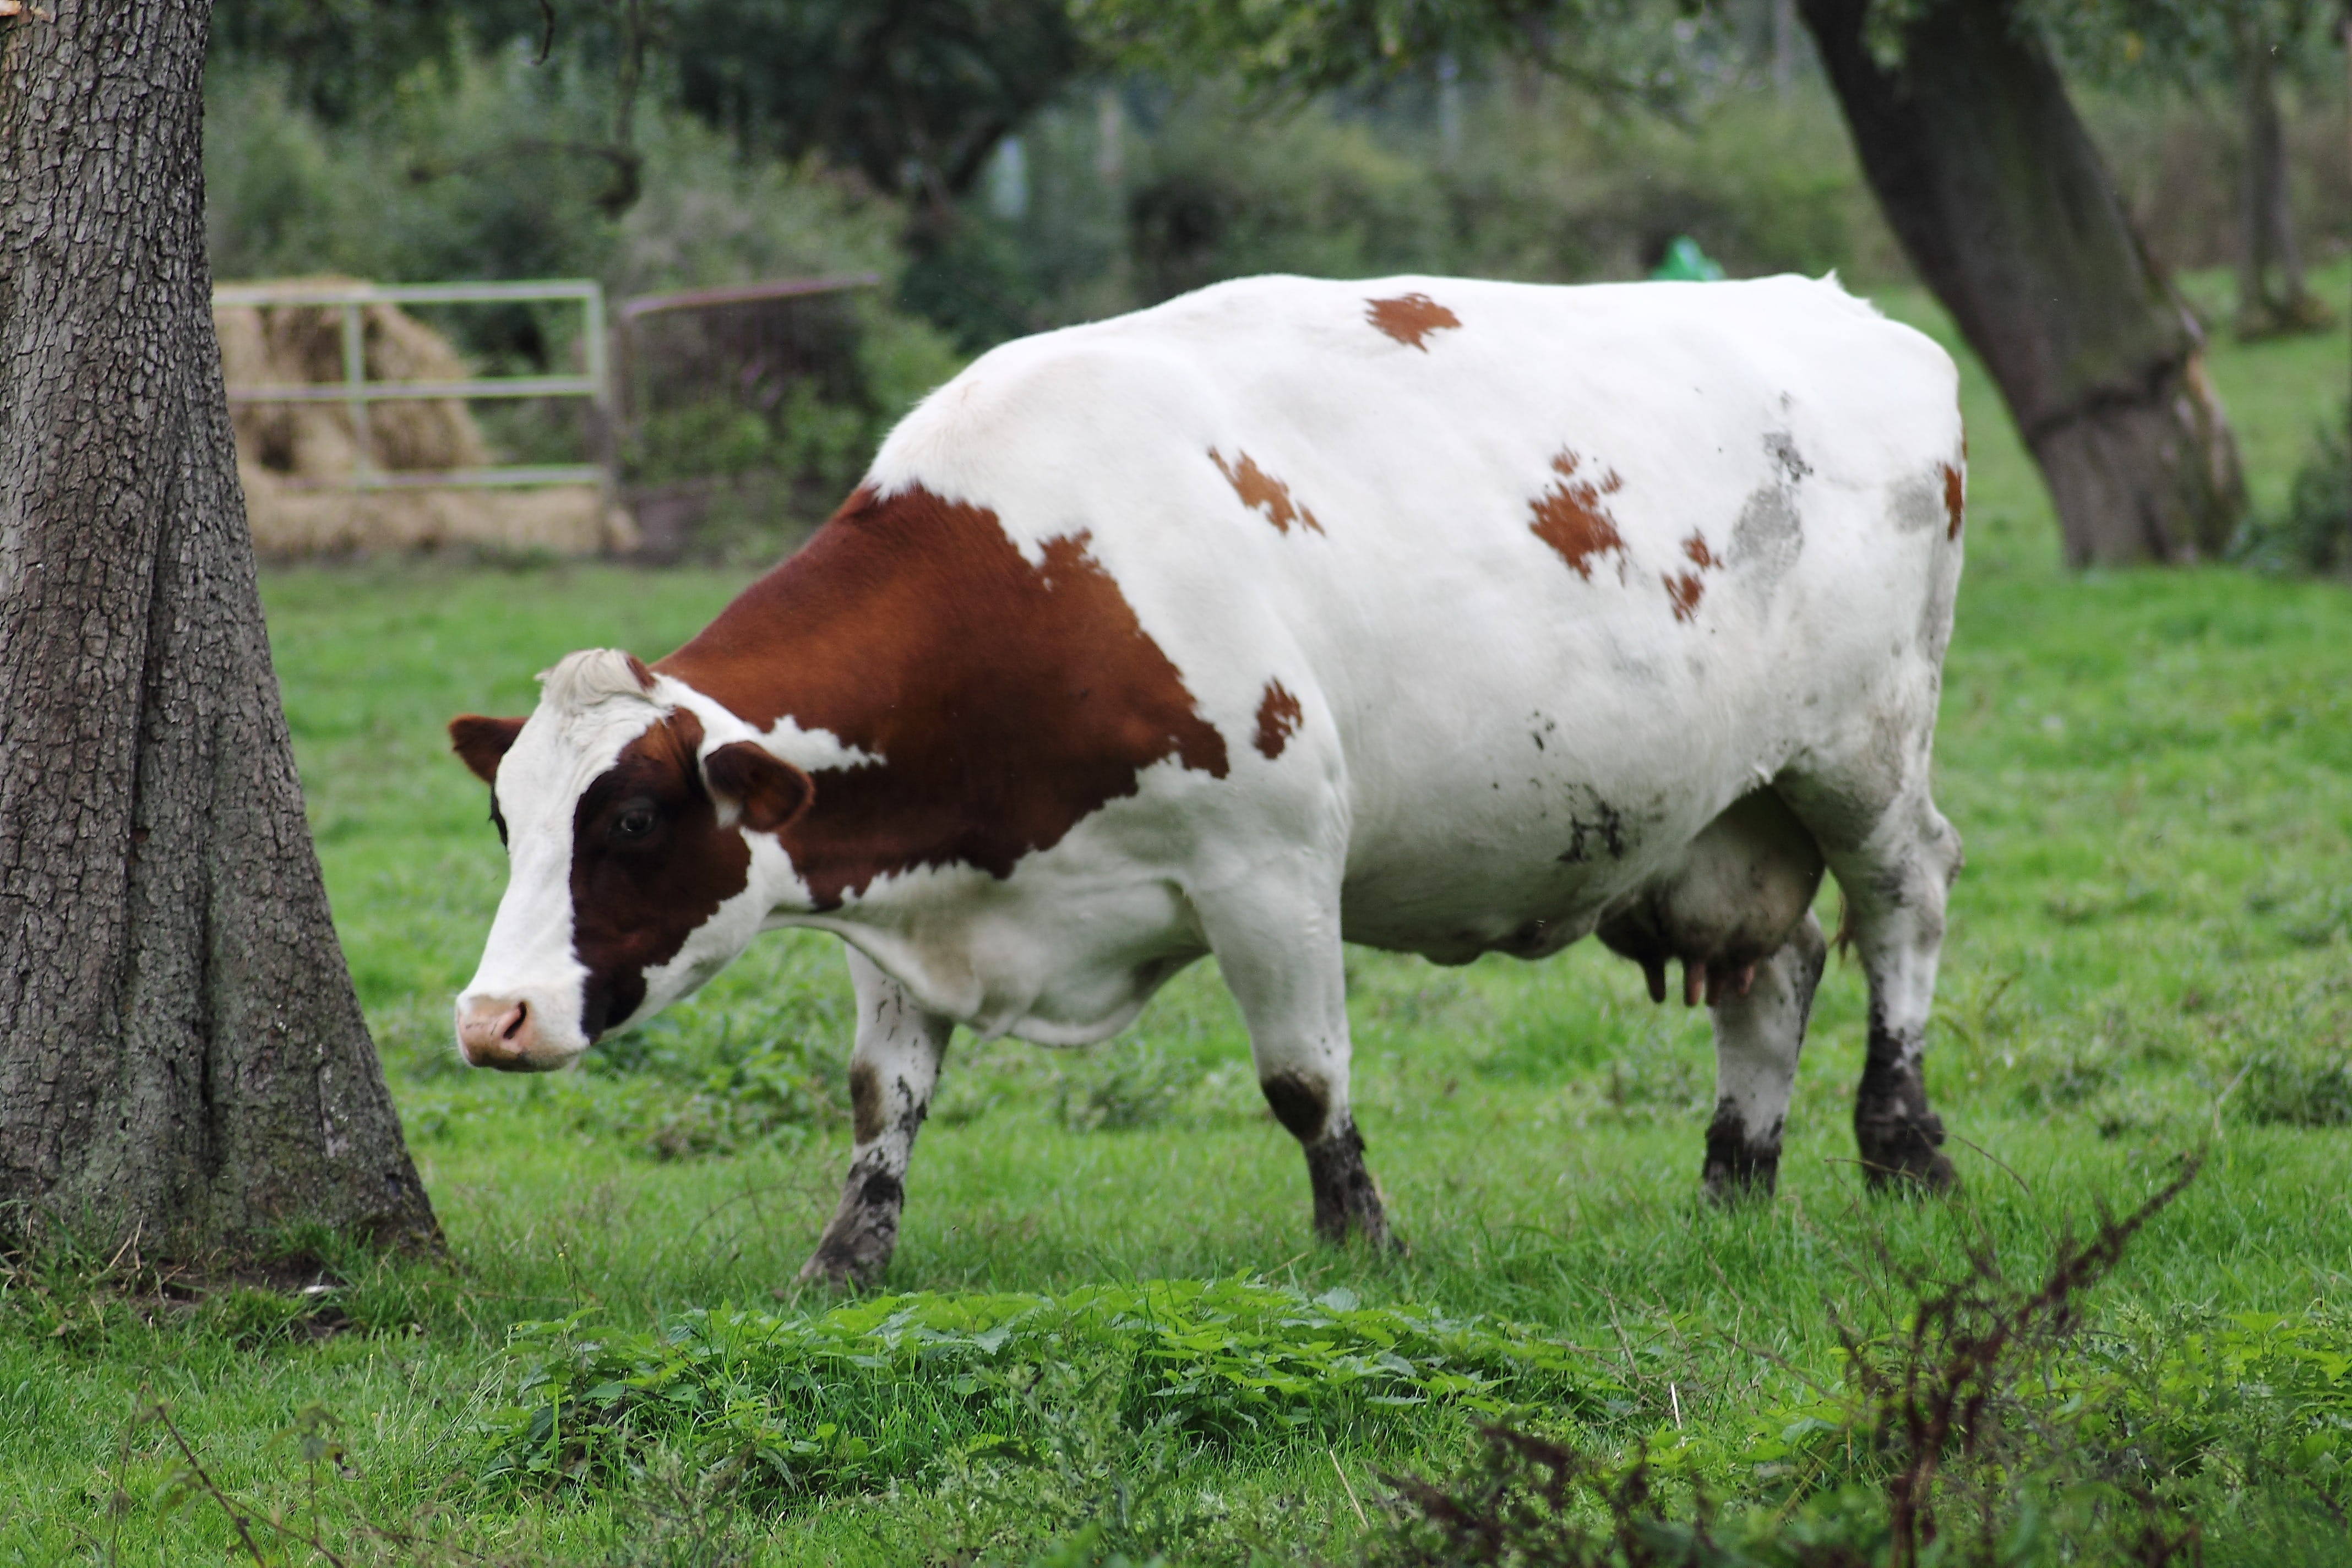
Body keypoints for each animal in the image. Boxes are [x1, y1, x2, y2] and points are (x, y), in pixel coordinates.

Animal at [448, 273, 1966, 1286]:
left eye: (632, 816)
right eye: (506, 816)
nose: (490, 1017)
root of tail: (1848, 311)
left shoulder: (1271, 863)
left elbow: (1303, 1078)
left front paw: (1361, 1241)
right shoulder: (902, 888)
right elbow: (884, 1095)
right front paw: (843, 1262)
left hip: (1863, 750)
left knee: (1905, 904)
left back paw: (1902, 1144)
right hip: (1728, 803)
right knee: (1774, 966)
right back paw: (1734, 1179)